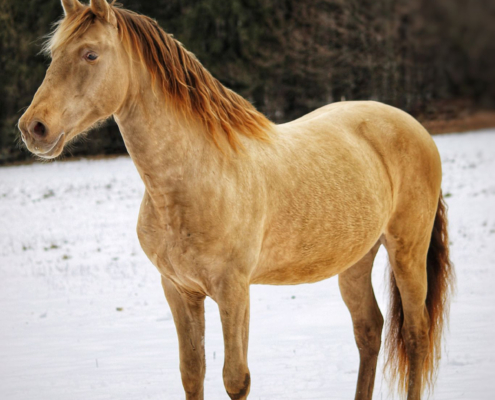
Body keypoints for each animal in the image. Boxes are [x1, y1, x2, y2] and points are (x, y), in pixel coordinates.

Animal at [18, 1, 454, 399]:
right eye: (54, 55)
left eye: (90, 54)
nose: (33, 128)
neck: (190, 183)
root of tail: (413, 126)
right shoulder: (178, 290)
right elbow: (192, 373)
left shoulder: (233, 290)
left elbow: (235, 378)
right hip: (356, 259)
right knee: (368, 331)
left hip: (407, 251)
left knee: (414, 335)